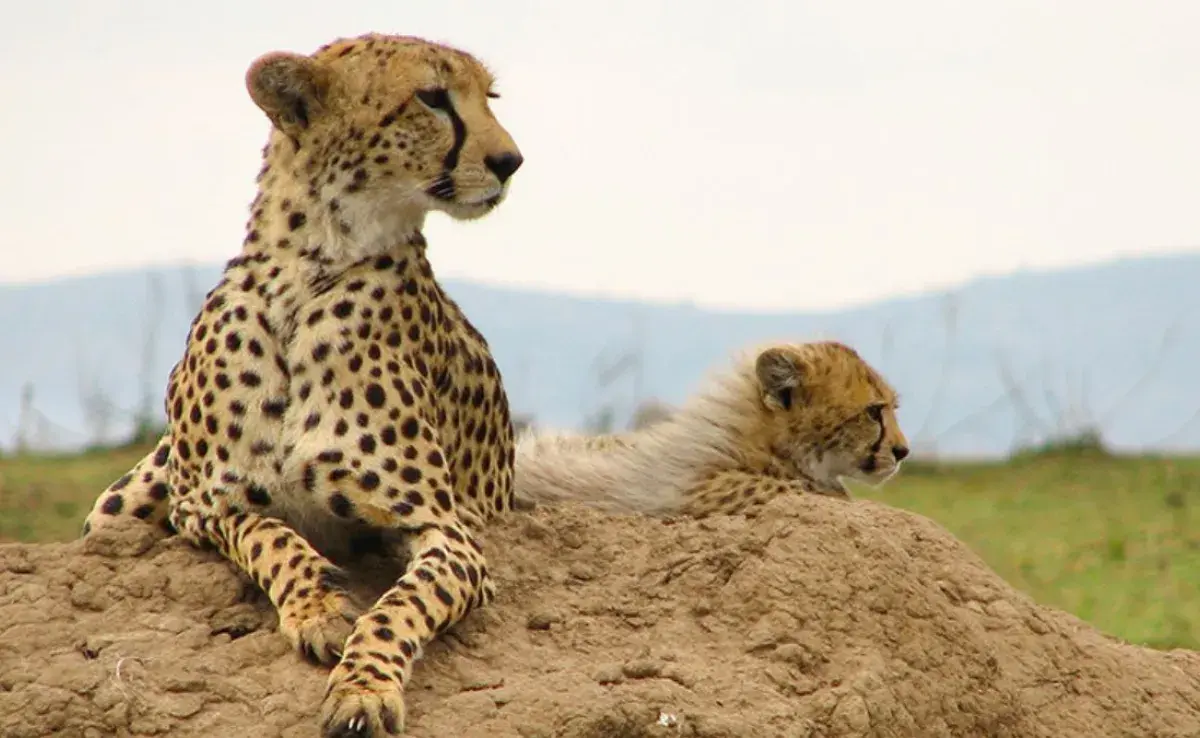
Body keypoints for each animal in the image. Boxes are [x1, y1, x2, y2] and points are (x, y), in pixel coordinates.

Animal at [79, 31, 520, 734]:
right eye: (431, 97)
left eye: (490, 96)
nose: (511, 161)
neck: (312, 264)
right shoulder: (200, 505)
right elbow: (268, 534)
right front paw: (319, 606)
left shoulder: (452, 533)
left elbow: (401, 606)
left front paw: (364, 688)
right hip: (115, 511)